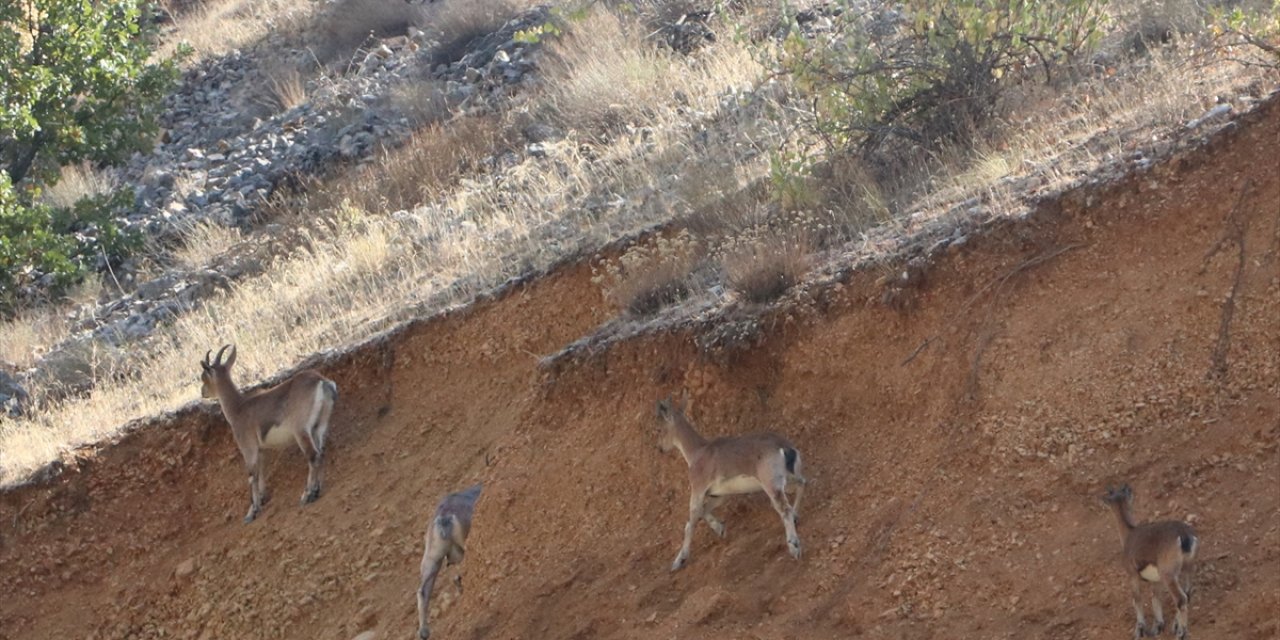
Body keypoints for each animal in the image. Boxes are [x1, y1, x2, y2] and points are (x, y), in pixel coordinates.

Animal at [197, 345, 337, 519]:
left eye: (204, 377)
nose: (203, 392)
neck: (239, 408)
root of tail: (321, 381)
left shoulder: (248, 449)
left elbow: (252, 476)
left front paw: (252, 512)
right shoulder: (261, 450)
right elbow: (261, 472)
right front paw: (262, 498)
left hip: (301, 431)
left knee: (313, 456)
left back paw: (307, 494)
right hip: (319, 427)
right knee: (321, 452)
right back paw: (317, 491)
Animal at [655, 394, 803, 570]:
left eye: (660, 429)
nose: (660, 448)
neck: (697, 453)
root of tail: (785, 448)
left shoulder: (697, 489)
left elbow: (690, 522)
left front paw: (679, 561)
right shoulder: (720, 494)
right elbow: (704, 511)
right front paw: (720, 529)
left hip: (771, 483)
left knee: (784, 508)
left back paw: (794, 546)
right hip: (790, 478)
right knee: (802, 485)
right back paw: (796, 517)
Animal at [1100, 483, 1198, 640]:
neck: (1129, 535)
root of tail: (1184, 537)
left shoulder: (1132, 575)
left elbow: (1137, 599)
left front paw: (1140, 629)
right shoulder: (1156, 580)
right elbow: (1155, 599)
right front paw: (1157, 627)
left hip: (1168, 574)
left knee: (1181, 599)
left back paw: (1181, 633)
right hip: (1187, 568)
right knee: (1187, 594)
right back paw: (1176, 626)